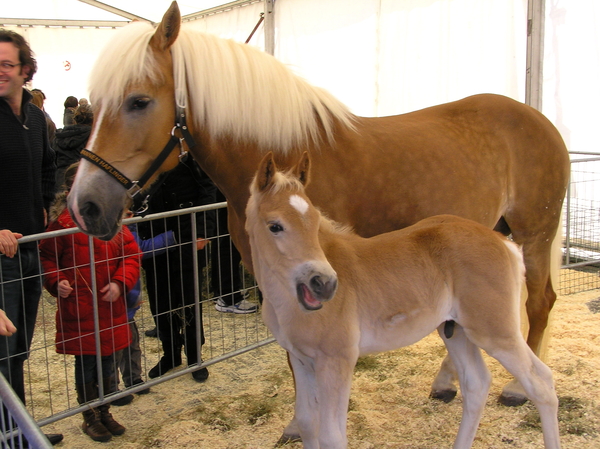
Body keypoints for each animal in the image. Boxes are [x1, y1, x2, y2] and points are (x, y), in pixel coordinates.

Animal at [245, 151, 564, 448]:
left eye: (314, 221)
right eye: (275, 226)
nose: (324, 283)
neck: (286, 300)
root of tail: (505, 243)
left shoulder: (337, 360)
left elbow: (332, 436)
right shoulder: (301, 360)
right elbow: (308, 424)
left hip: (495, 331)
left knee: (541, 383)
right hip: (455, 330)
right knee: (477, 385)